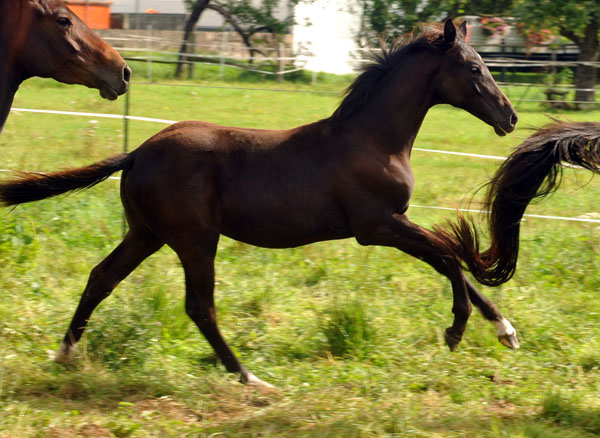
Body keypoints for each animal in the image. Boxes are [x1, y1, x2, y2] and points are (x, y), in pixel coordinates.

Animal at [0, 19, 516, 390]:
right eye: (474, 68)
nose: (509, 117)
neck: (373, 140)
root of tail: (139, 151)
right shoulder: (377, 227)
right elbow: (449, 254)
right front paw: (456, 331)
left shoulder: (395, 223)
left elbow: (449, 261)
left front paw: (504, 329)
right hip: (195, 240)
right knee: (199, 306)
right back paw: (250, 378)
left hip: (146, 235)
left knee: (101, 278)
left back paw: (64, 354)